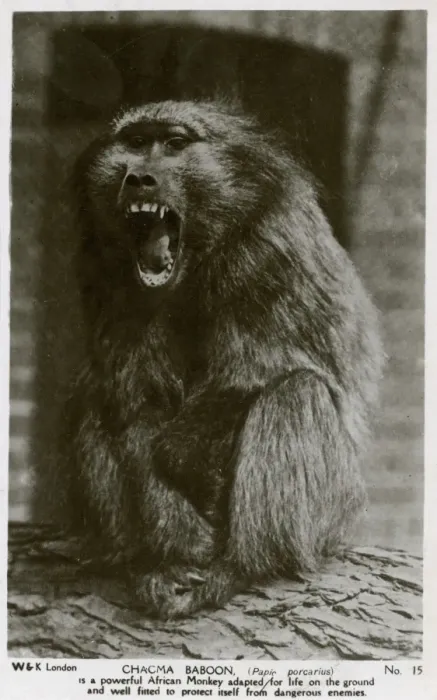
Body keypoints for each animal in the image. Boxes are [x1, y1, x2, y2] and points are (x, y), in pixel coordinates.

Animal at [60, 99, 384, 619]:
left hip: (337, 511)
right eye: (135, 142)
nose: (139, 178)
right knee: (97, 395)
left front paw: (195, 482)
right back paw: (147, 559)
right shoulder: (106, 270)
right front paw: (175, 543)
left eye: (174, 144)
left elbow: (252, 373)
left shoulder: (270, 248)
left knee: (296, 393)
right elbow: (136, 401)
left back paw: (244, 567)